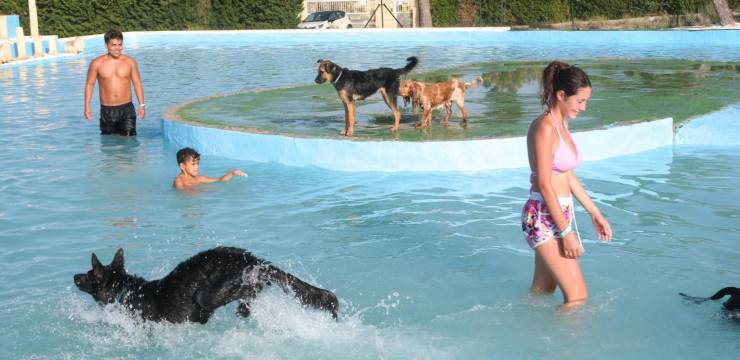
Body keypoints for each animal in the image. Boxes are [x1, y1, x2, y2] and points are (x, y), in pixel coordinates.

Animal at [72, 248, 338, 324]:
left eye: (88, 274)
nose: (74, 275)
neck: (127, 291)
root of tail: (255, 261)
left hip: (209, 293)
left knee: (241, 291)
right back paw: (244, 311)